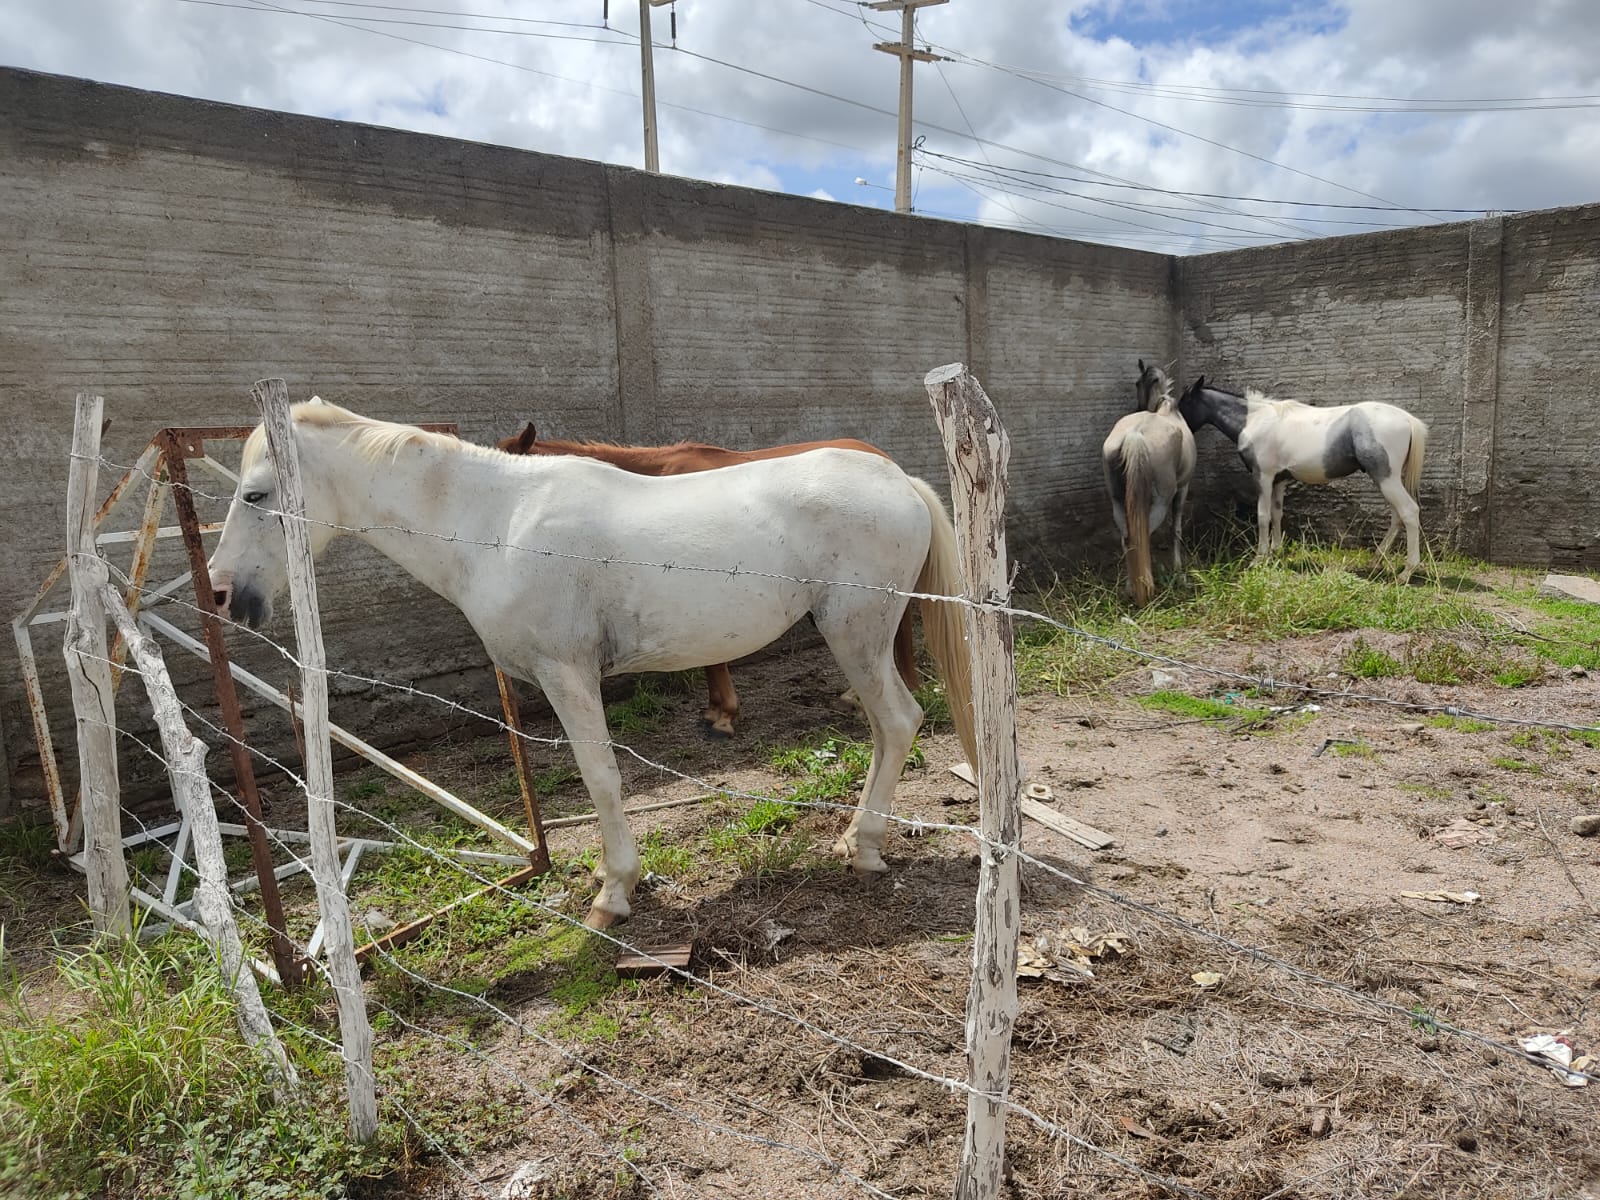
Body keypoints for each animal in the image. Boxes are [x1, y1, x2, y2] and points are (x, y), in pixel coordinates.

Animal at [1100, 361, 1203, 604]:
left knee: (1127, 537)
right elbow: (1176, 529)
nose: (1137, 405)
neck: (1166, 408)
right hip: (1160, 503)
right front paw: (1178, 570)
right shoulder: (1182, 488)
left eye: (1136, 383)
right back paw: (1145, 589)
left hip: (1118, 501)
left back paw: (1130, 587)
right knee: (1142, 536)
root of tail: (1135, 435)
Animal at [1184, 376, 1433, 582]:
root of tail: (1408, 420)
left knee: (1409, 512)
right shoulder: (1279, 480)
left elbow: (1263, 516)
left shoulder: (1263, 476)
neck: (1254, 420)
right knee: (1397, 516)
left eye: (1183, 402)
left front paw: (1259, 558)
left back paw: (1406, 572)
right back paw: (1377, 560)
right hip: (1388, 480)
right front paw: (1275, 552)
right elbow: (1277, 513)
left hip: (1386, 479)